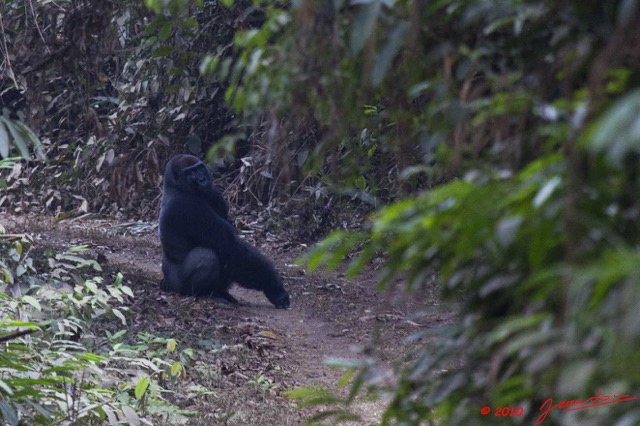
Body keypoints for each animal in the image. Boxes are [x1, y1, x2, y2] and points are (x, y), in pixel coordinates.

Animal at [160, 155, 290, 308]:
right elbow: (229, 246)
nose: (202, 180)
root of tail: (169, 284)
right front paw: (273, 287)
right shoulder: (188, 206)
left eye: (200, 168)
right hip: (177, 286)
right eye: (190, 173)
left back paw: (220, 293)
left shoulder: (213, 193)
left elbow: (230, 250)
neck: (175, 187)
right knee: (207, 256)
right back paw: (201, 294)